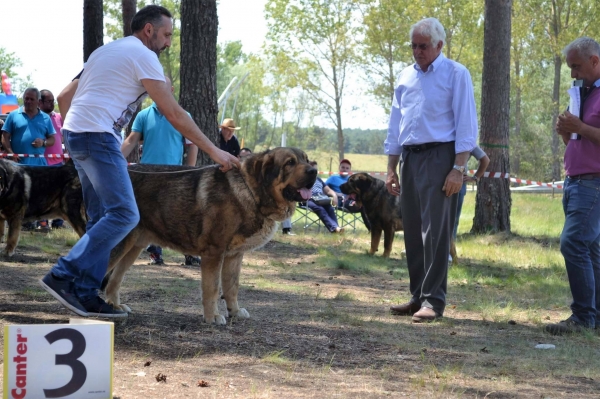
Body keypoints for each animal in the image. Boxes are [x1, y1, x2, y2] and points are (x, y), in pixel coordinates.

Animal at [102, 147, 318, 324]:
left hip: (134, 246)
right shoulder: (214, 253)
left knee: (114, 280)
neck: (250, 190)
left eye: (307, 160)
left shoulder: (234, 256)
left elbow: (232, 287)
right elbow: (212, 288)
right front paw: (212, 316)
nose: (314, 171)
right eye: (290, 162)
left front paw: (234, 312)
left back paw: (115, 305)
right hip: (120, 244)